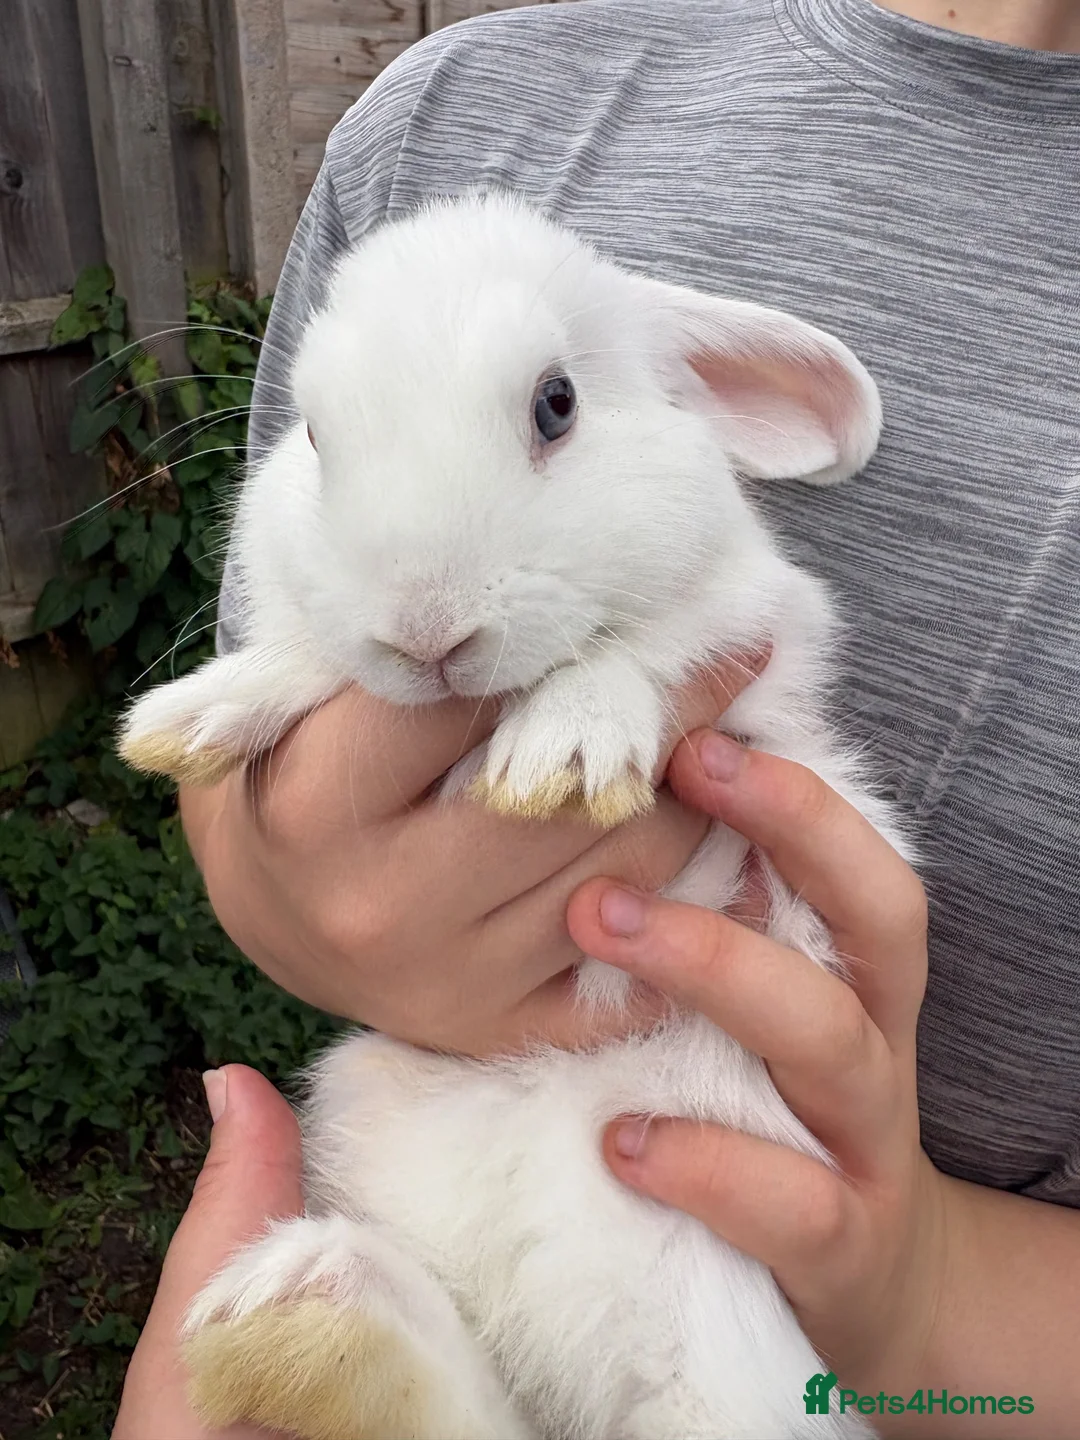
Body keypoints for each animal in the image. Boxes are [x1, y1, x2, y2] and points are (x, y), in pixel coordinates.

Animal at [119, 192, 903, 1440]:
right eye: (316, 438)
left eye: (557, 404)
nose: (424, 628)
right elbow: (310, 665)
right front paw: (191, 717)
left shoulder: (763, 626)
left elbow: (654, 643)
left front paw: (564, 755)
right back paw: (305, 1314)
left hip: (710, 1330)